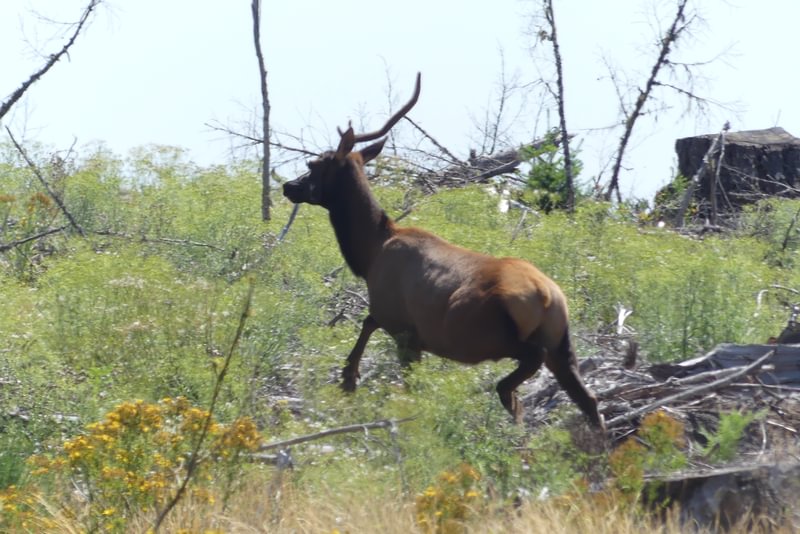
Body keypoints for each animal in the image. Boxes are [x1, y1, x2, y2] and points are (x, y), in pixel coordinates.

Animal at [282, 73, 604, 430]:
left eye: (314, 163)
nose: (289, 186)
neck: (369, 254)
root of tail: (548, 299)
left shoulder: (402, 325)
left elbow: (386, 350)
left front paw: (352, 381)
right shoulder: (400, 324)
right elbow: (367, 325)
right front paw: (348, 379)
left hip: (489, 335)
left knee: (529, 364)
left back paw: (512, 402)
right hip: (562, 344)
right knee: (589, 400)